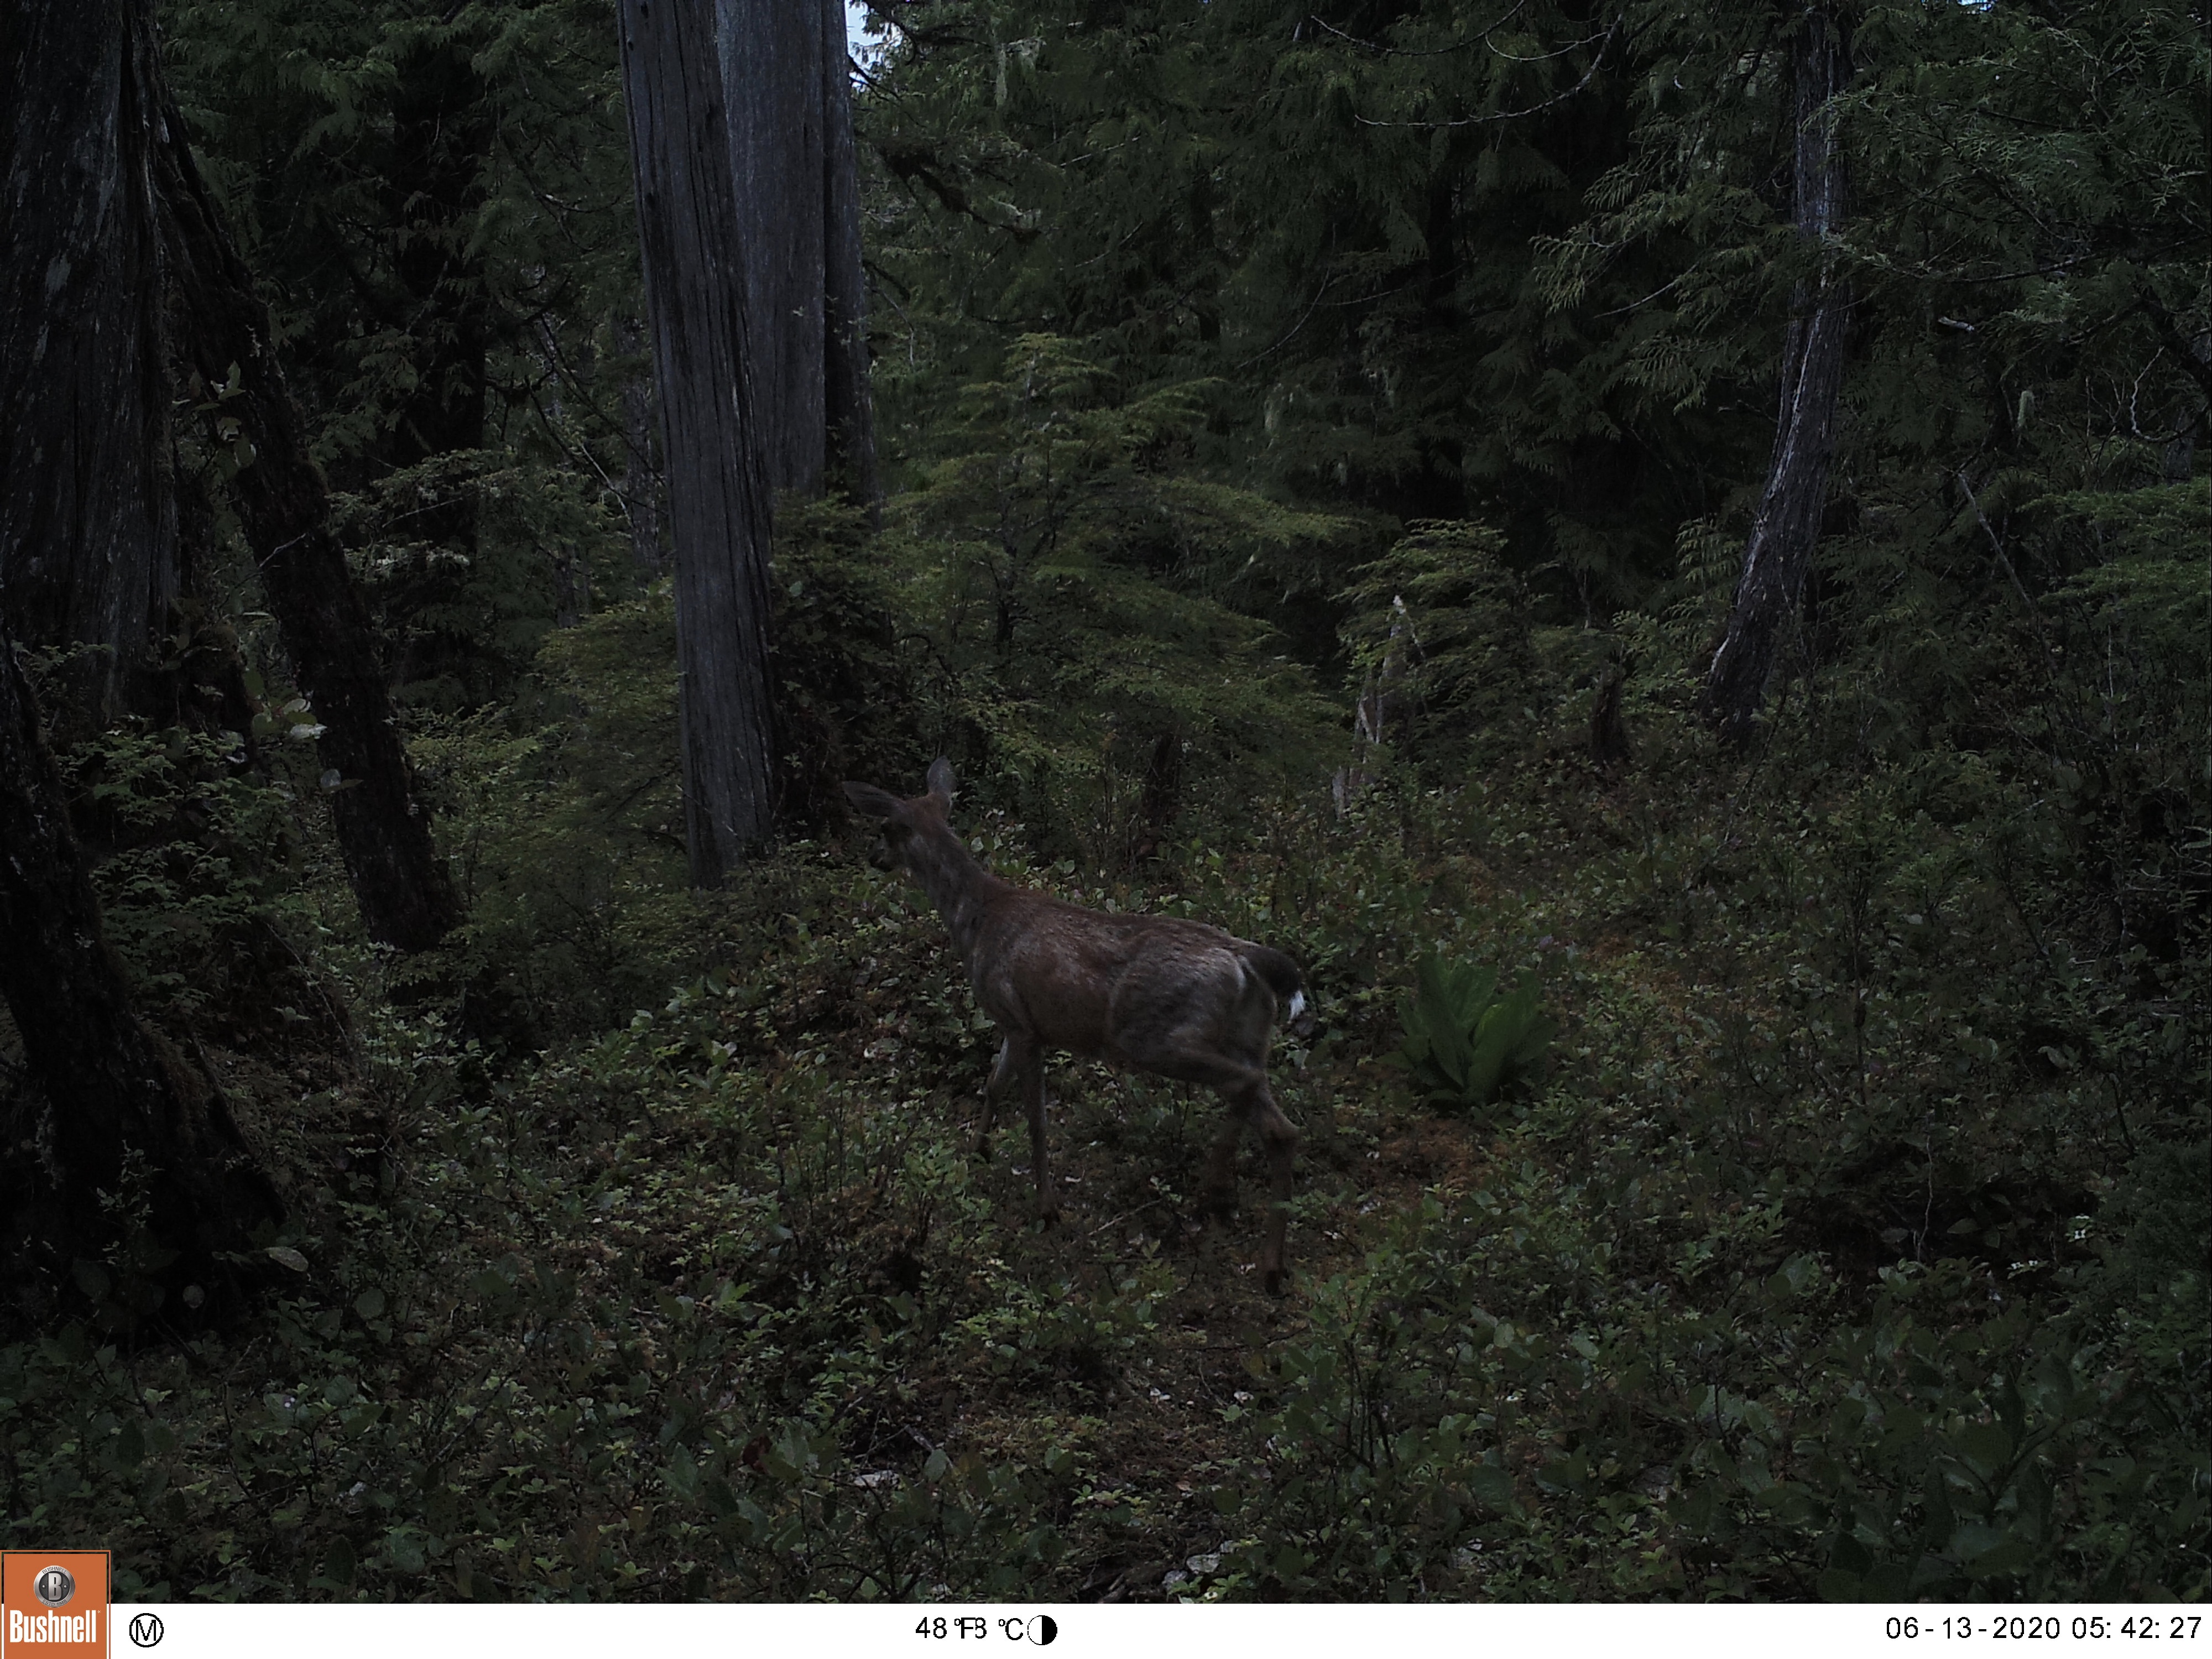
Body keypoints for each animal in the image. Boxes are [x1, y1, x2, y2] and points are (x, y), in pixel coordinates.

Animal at [842, 759, 1307, 1292]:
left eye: (883, 827)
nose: (873, 856)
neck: (976, 921)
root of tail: (1248, 960)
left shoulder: (1019, 1019)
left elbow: (1036, 1119)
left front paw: (1046, 1208)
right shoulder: (1016, 1021)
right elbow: (992, 1085)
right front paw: (975, 1153)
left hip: (1155, 1036)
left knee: (1248, 1091)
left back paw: (1220, 1203)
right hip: (1250, 1034)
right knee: (1276, 1122)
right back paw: (1258, 1247)